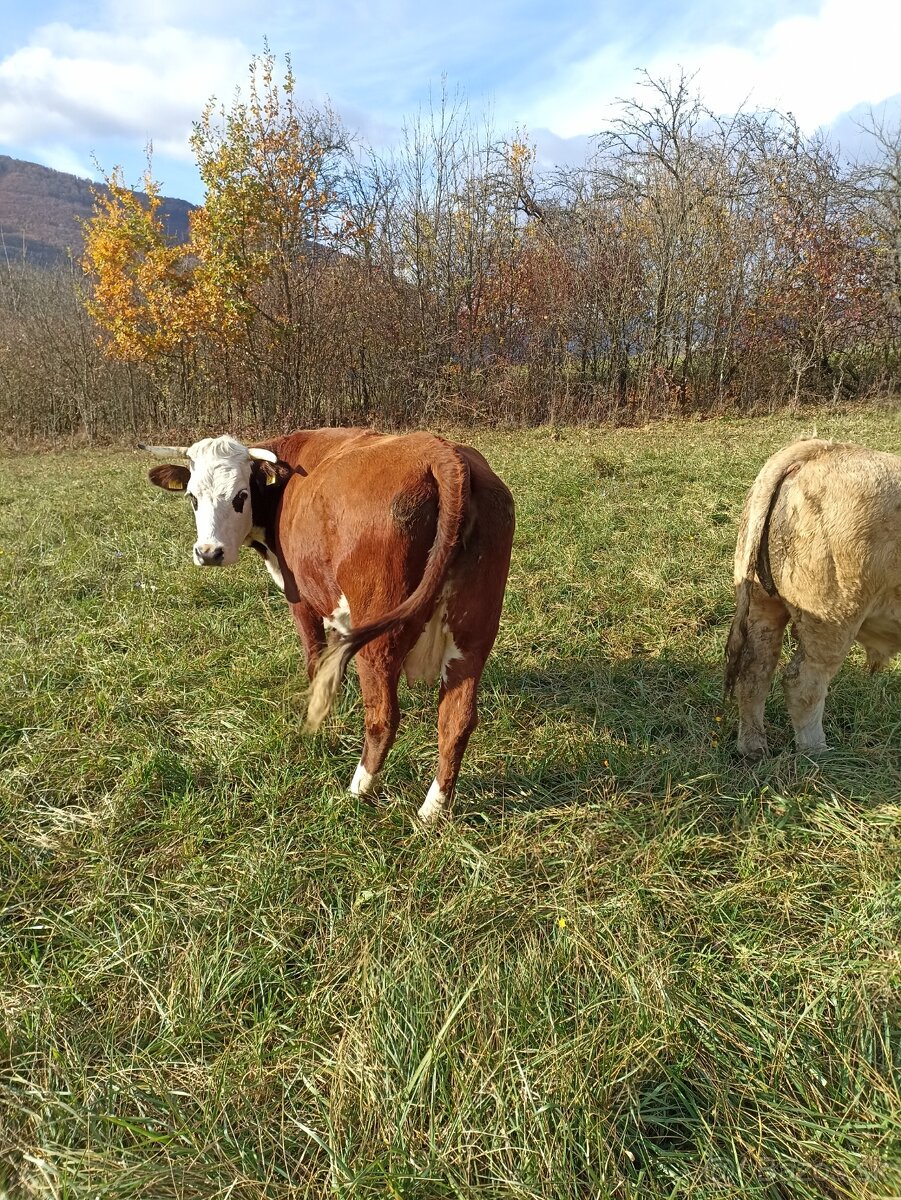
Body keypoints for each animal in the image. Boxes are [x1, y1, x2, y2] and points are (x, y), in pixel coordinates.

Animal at [140, 427, 513, 820]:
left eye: (240, 496)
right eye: (193, 498)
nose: (209, 552)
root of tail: (440, 452)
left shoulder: (300, 598)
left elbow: (314, 659)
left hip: (380, 640)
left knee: (382, 717)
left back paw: (358, 789)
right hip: (473, 636)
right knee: (456, 720)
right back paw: (432, 811)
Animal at [724, 441, 901, 753]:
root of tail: (820, 450)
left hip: (762, 601)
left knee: (755, 671)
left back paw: (753, 749)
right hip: (833, 617)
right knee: (803, 682)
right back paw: (818, 751)